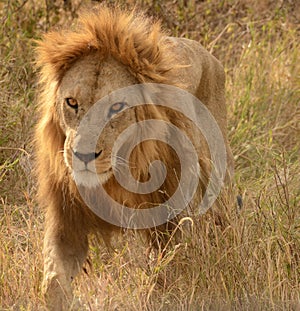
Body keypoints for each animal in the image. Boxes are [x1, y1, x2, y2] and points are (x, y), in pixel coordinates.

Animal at [34, 5, 233, 311]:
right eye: (71, 102)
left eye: (117, 107)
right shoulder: (66, 222)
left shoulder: (171, 223)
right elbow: (53, 283)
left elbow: (162, 278)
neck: (119, 175)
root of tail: (207, 53)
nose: (82, 156)